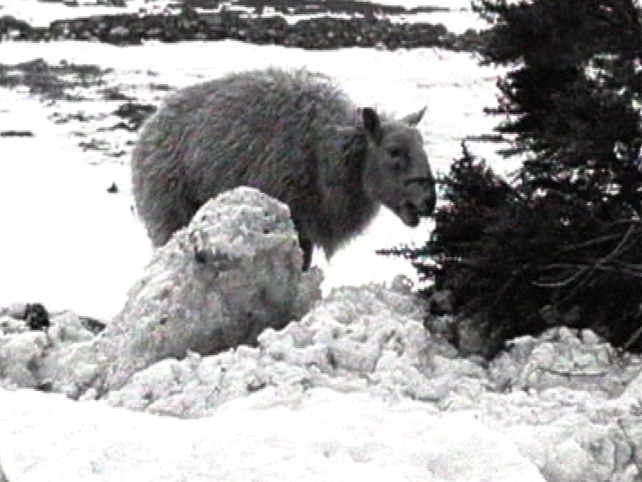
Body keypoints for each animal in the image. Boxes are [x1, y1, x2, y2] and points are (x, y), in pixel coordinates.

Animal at [131, 67, 436, 270]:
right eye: (394, 151)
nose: (429, 201)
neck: (326, 150)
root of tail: (150, 124)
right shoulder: (293, 221)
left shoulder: (307, 229)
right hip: (169, 214)